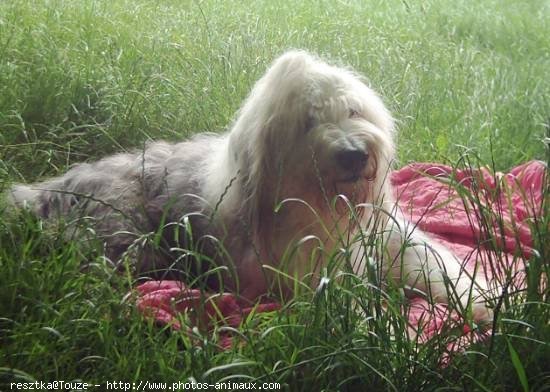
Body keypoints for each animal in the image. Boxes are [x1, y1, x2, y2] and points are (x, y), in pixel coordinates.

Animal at [7, 49, 492, 324]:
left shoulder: (388, 234)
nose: (354, 154)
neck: (324, 210)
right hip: (125, 235)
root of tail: (43, 191)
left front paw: (483, 301)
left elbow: (434, 261)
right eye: (307, 122)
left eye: (352, 110)